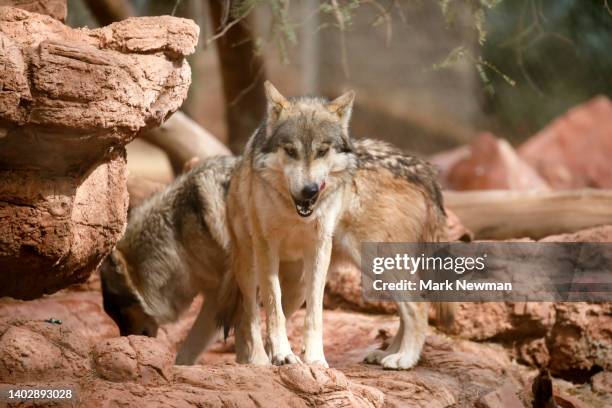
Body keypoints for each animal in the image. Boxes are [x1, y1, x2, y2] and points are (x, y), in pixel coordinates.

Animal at [225, 82, 454, 370]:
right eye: (290, 151)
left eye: (322, 151)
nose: (310, 190)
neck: (294, 214)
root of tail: (422, 169)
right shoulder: (267, 248)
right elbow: (272, 311)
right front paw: (282, 355)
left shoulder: (319, 248)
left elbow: (314, 314)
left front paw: (314, 359)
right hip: (262, 269)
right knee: (252, 316)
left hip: (374, 261)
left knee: (417, 305)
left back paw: (404, 359)